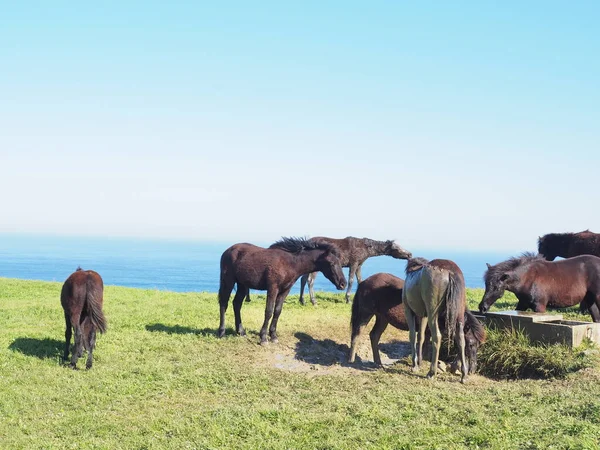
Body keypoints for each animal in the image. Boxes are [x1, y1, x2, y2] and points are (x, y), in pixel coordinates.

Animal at [350, 272, 486, 374]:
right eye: (471, 344)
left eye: (478, 345)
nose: (473, 369)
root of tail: (363, 282)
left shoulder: (428, 331)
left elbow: (425, 345)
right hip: (365, 313)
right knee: (357, 334)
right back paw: (352, 361)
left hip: (382, 318)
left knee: (374, 336)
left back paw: (378, 363)